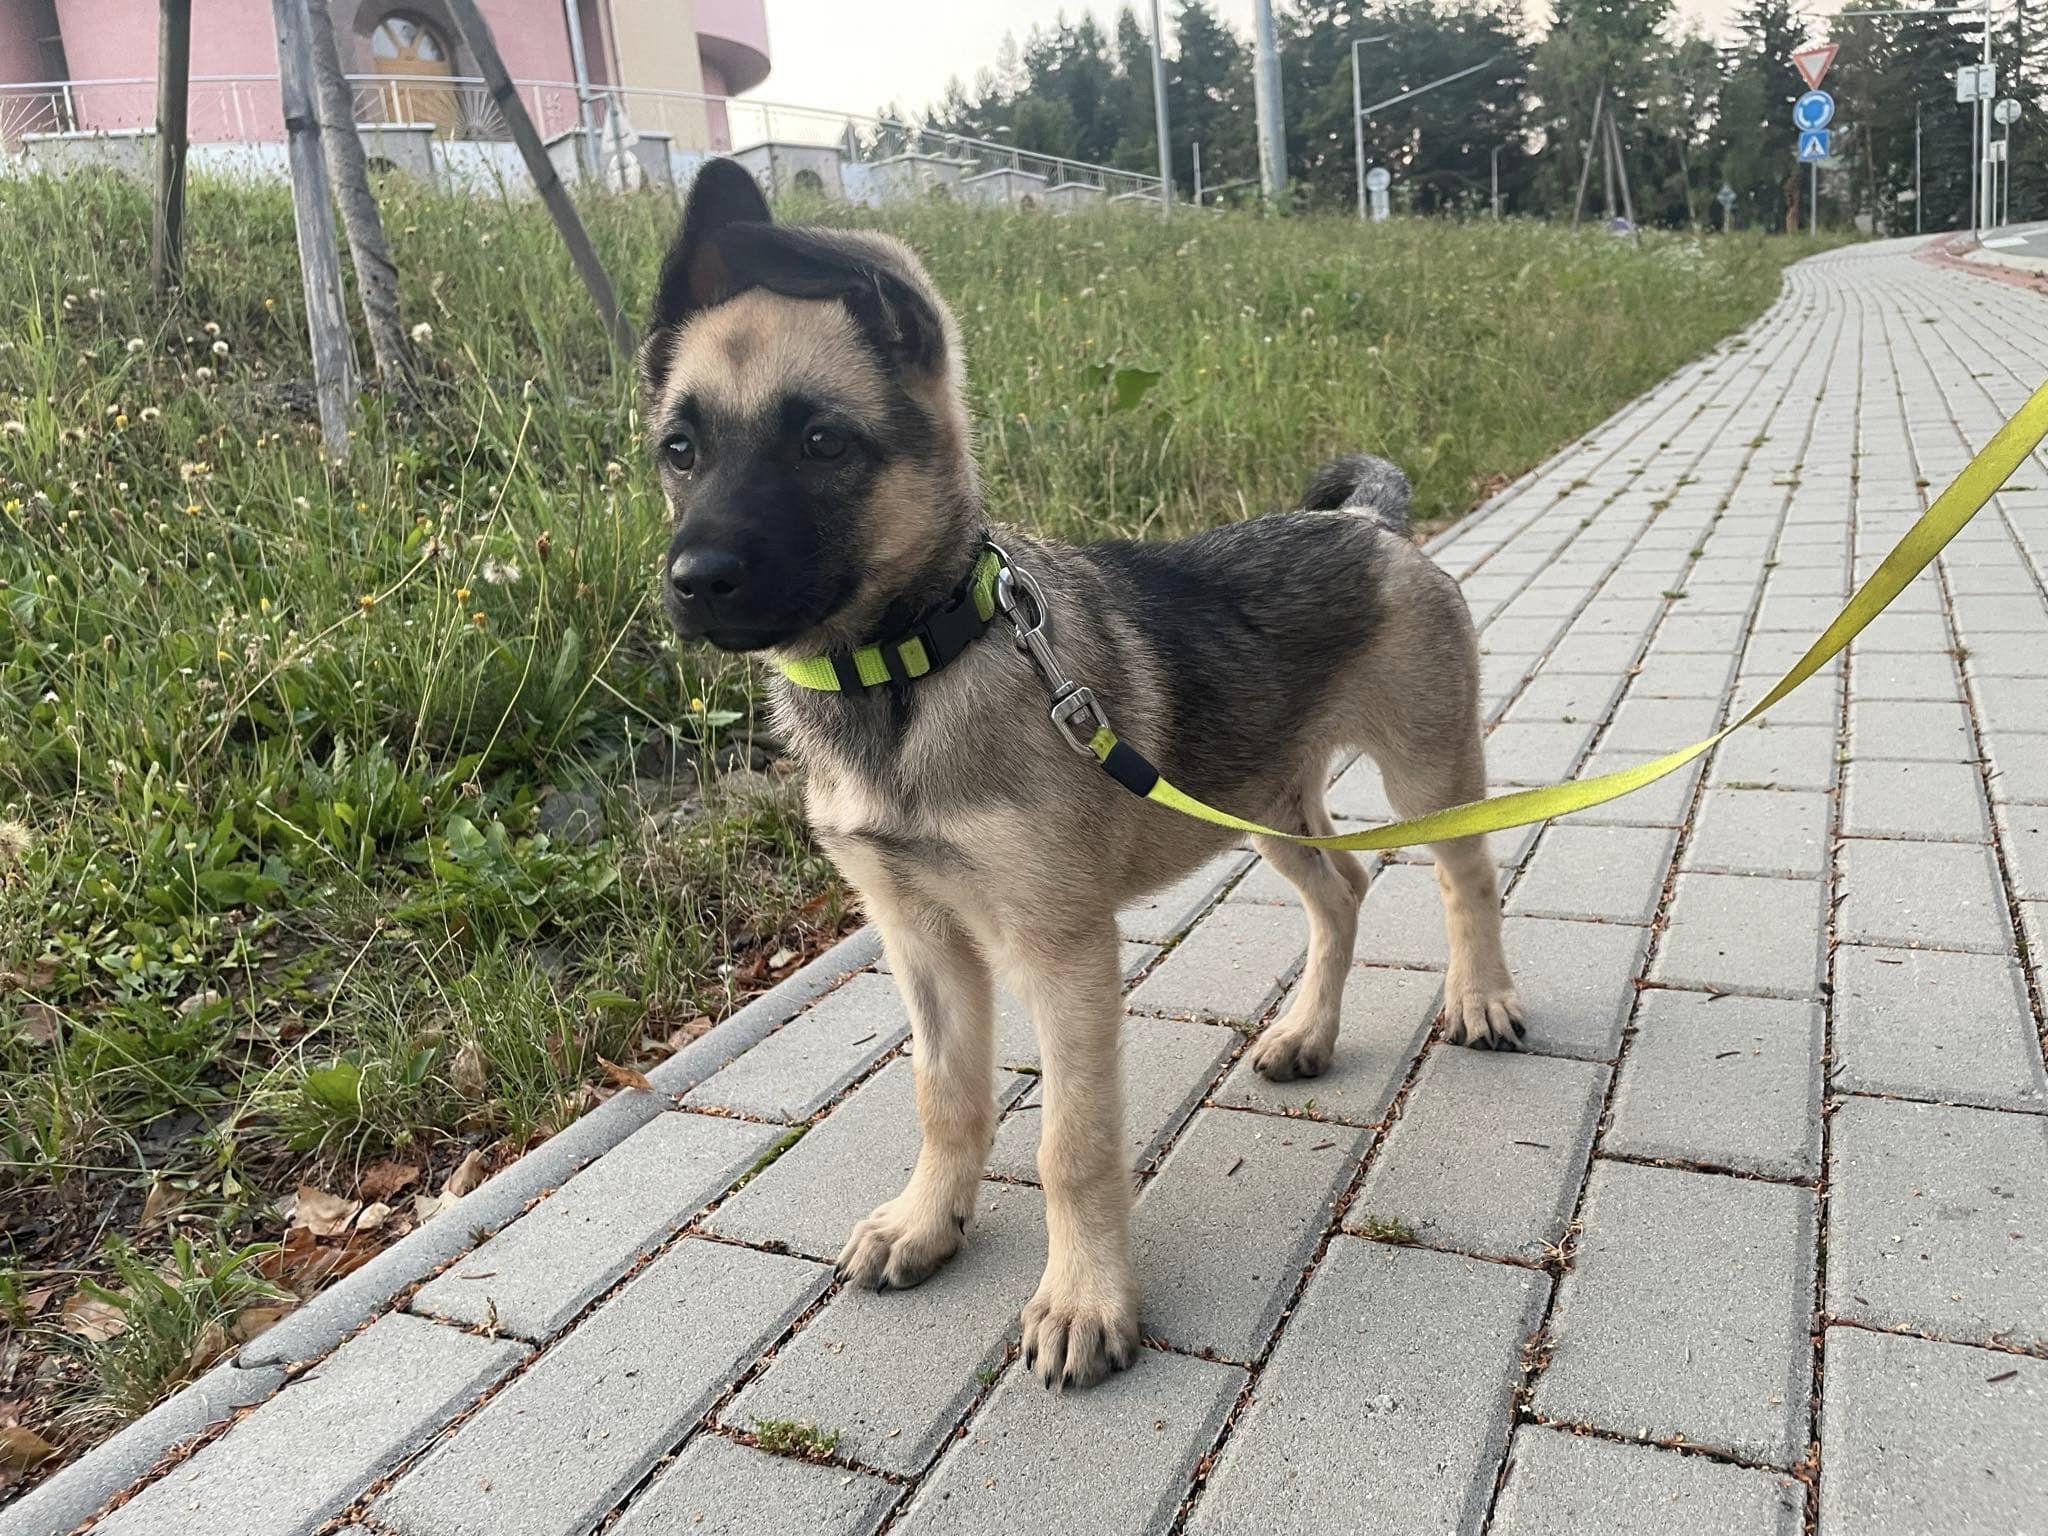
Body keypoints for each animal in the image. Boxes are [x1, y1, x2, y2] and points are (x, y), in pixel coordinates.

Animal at [646, 159, 1523, 1390]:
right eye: (679, 449)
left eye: (822, 442)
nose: (695, 581)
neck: (910, 668)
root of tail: (1369, 523)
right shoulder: (920, 938)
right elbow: (944, 1096)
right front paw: (928, 1220)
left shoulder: (1061, 951)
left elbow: (1071, 1144)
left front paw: (1082, 1299)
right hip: (1259, 796)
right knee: (1342, 891)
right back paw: (1307, 1031)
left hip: (1424, 765)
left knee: (1462, 877)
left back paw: (1481, 997)